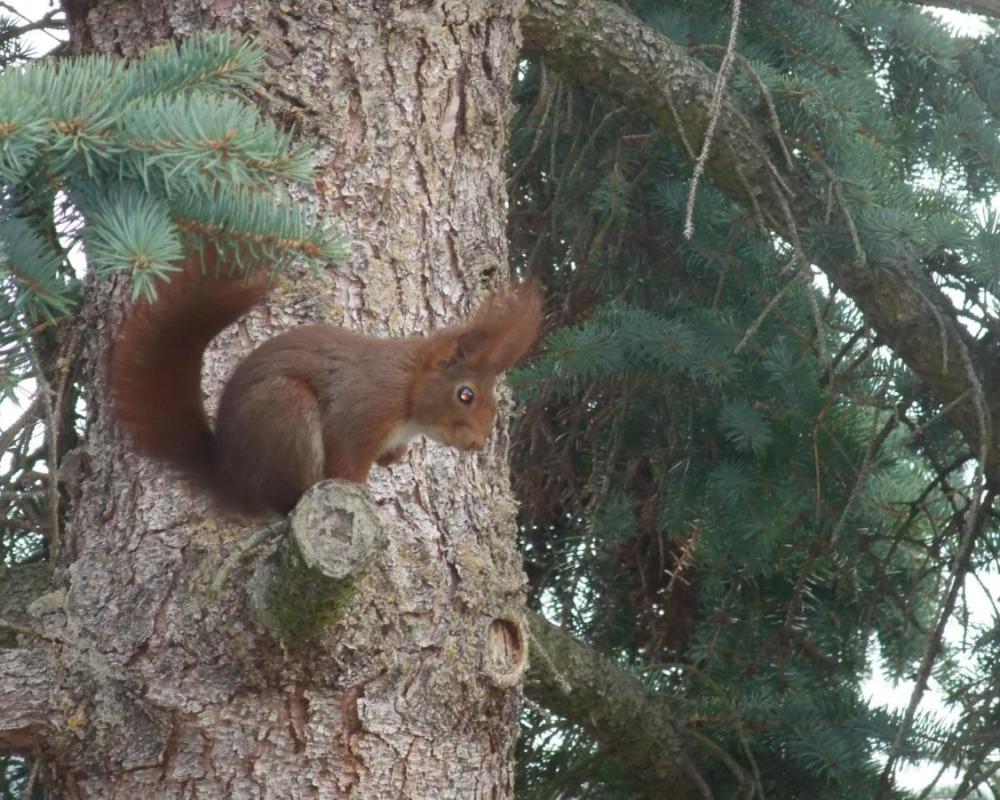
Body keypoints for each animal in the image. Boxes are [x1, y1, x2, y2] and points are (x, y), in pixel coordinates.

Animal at [109, 243, 542, 515]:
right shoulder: (366, 409)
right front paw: (364, 493)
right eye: (465, 395)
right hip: (286, 413)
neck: (408, 392)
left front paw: (394, 457)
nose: (477, 443)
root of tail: (229, 477)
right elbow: (347, 460)